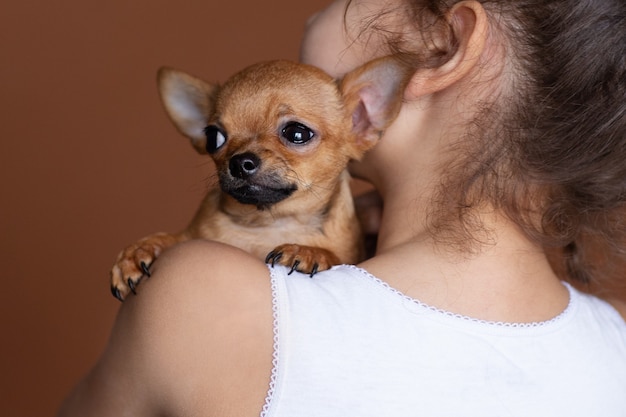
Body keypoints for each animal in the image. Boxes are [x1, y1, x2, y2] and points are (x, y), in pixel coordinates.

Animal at [109, 57, 410, 300]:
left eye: (297, 133)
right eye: (213, 137)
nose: (240, 162)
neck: (268, 222)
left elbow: (335, 257)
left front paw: (308, 252)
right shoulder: (192, 236)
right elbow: (174, 237)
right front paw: (138, 252)